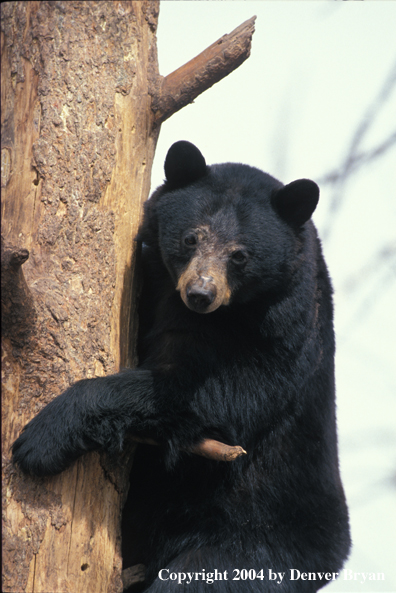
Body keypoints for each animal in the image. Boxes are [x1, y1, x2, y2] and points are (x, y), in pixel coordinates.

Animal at [12, 143, 350, 592]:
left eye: (240, 255)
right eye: (191, 237)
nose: (200, 293)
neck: (218, 317)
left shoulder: (284, 331)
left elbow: (217, 395)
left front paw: (40, 440)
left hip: (252, 545)